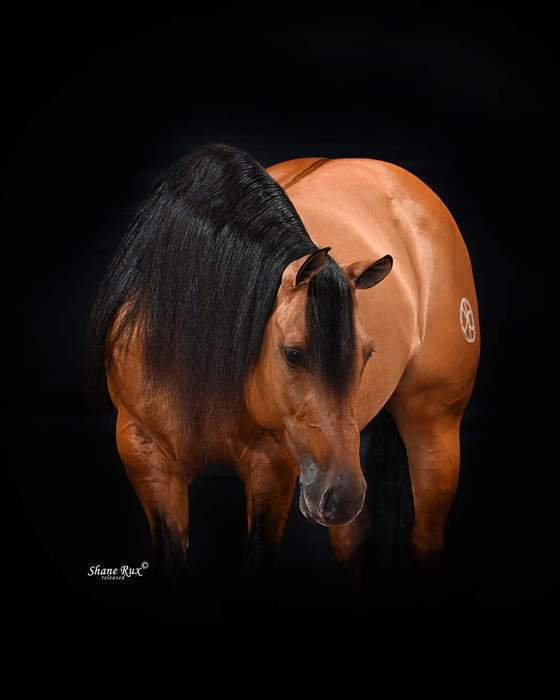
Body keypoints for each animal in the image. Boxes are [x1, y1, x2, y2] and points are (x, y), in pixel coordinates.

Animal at [90, 143, 479, 577]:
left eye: (367, 354)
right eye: (293, 354)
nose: (341, 495)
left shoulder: (273, 462)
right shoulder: (146, 455)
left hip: (429, 432)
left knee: (425, 534)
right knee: (352, 537)